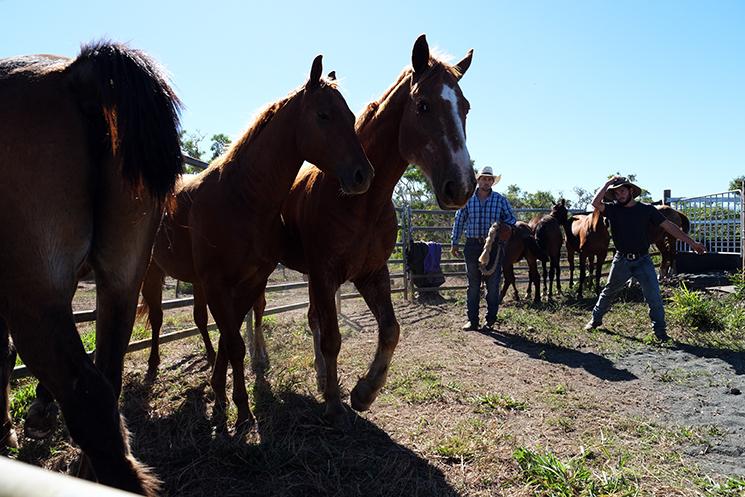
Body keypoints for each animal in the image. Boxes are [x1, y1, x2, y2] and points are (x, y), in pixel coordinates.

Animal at [139, 55, 373, 430]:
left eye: (351, 117)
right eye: (324, 115)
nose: (362, 176)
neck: (241, 199)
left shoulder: (249, 282)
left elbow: (230, 336)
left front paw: (222, 392)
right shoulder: (219, 283)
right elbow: (234, 343)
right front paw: (241, 408)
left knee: (201, 321)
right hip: (152, 274)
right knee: (159, 320)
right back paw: (151, 367)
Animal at [247, 35, 475, 426]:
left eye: (466, 107)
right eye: (423, 105)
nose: (460, 186)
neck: (361, 203)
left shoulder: (371, 274)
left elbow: (390, 330)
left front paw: (363, 391)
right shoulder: (324, 275)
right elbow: (332, 337)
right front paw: (335, 403)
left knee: (309, 318)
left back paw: (320, 376)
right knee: (257, 310)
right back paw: (259, 359)